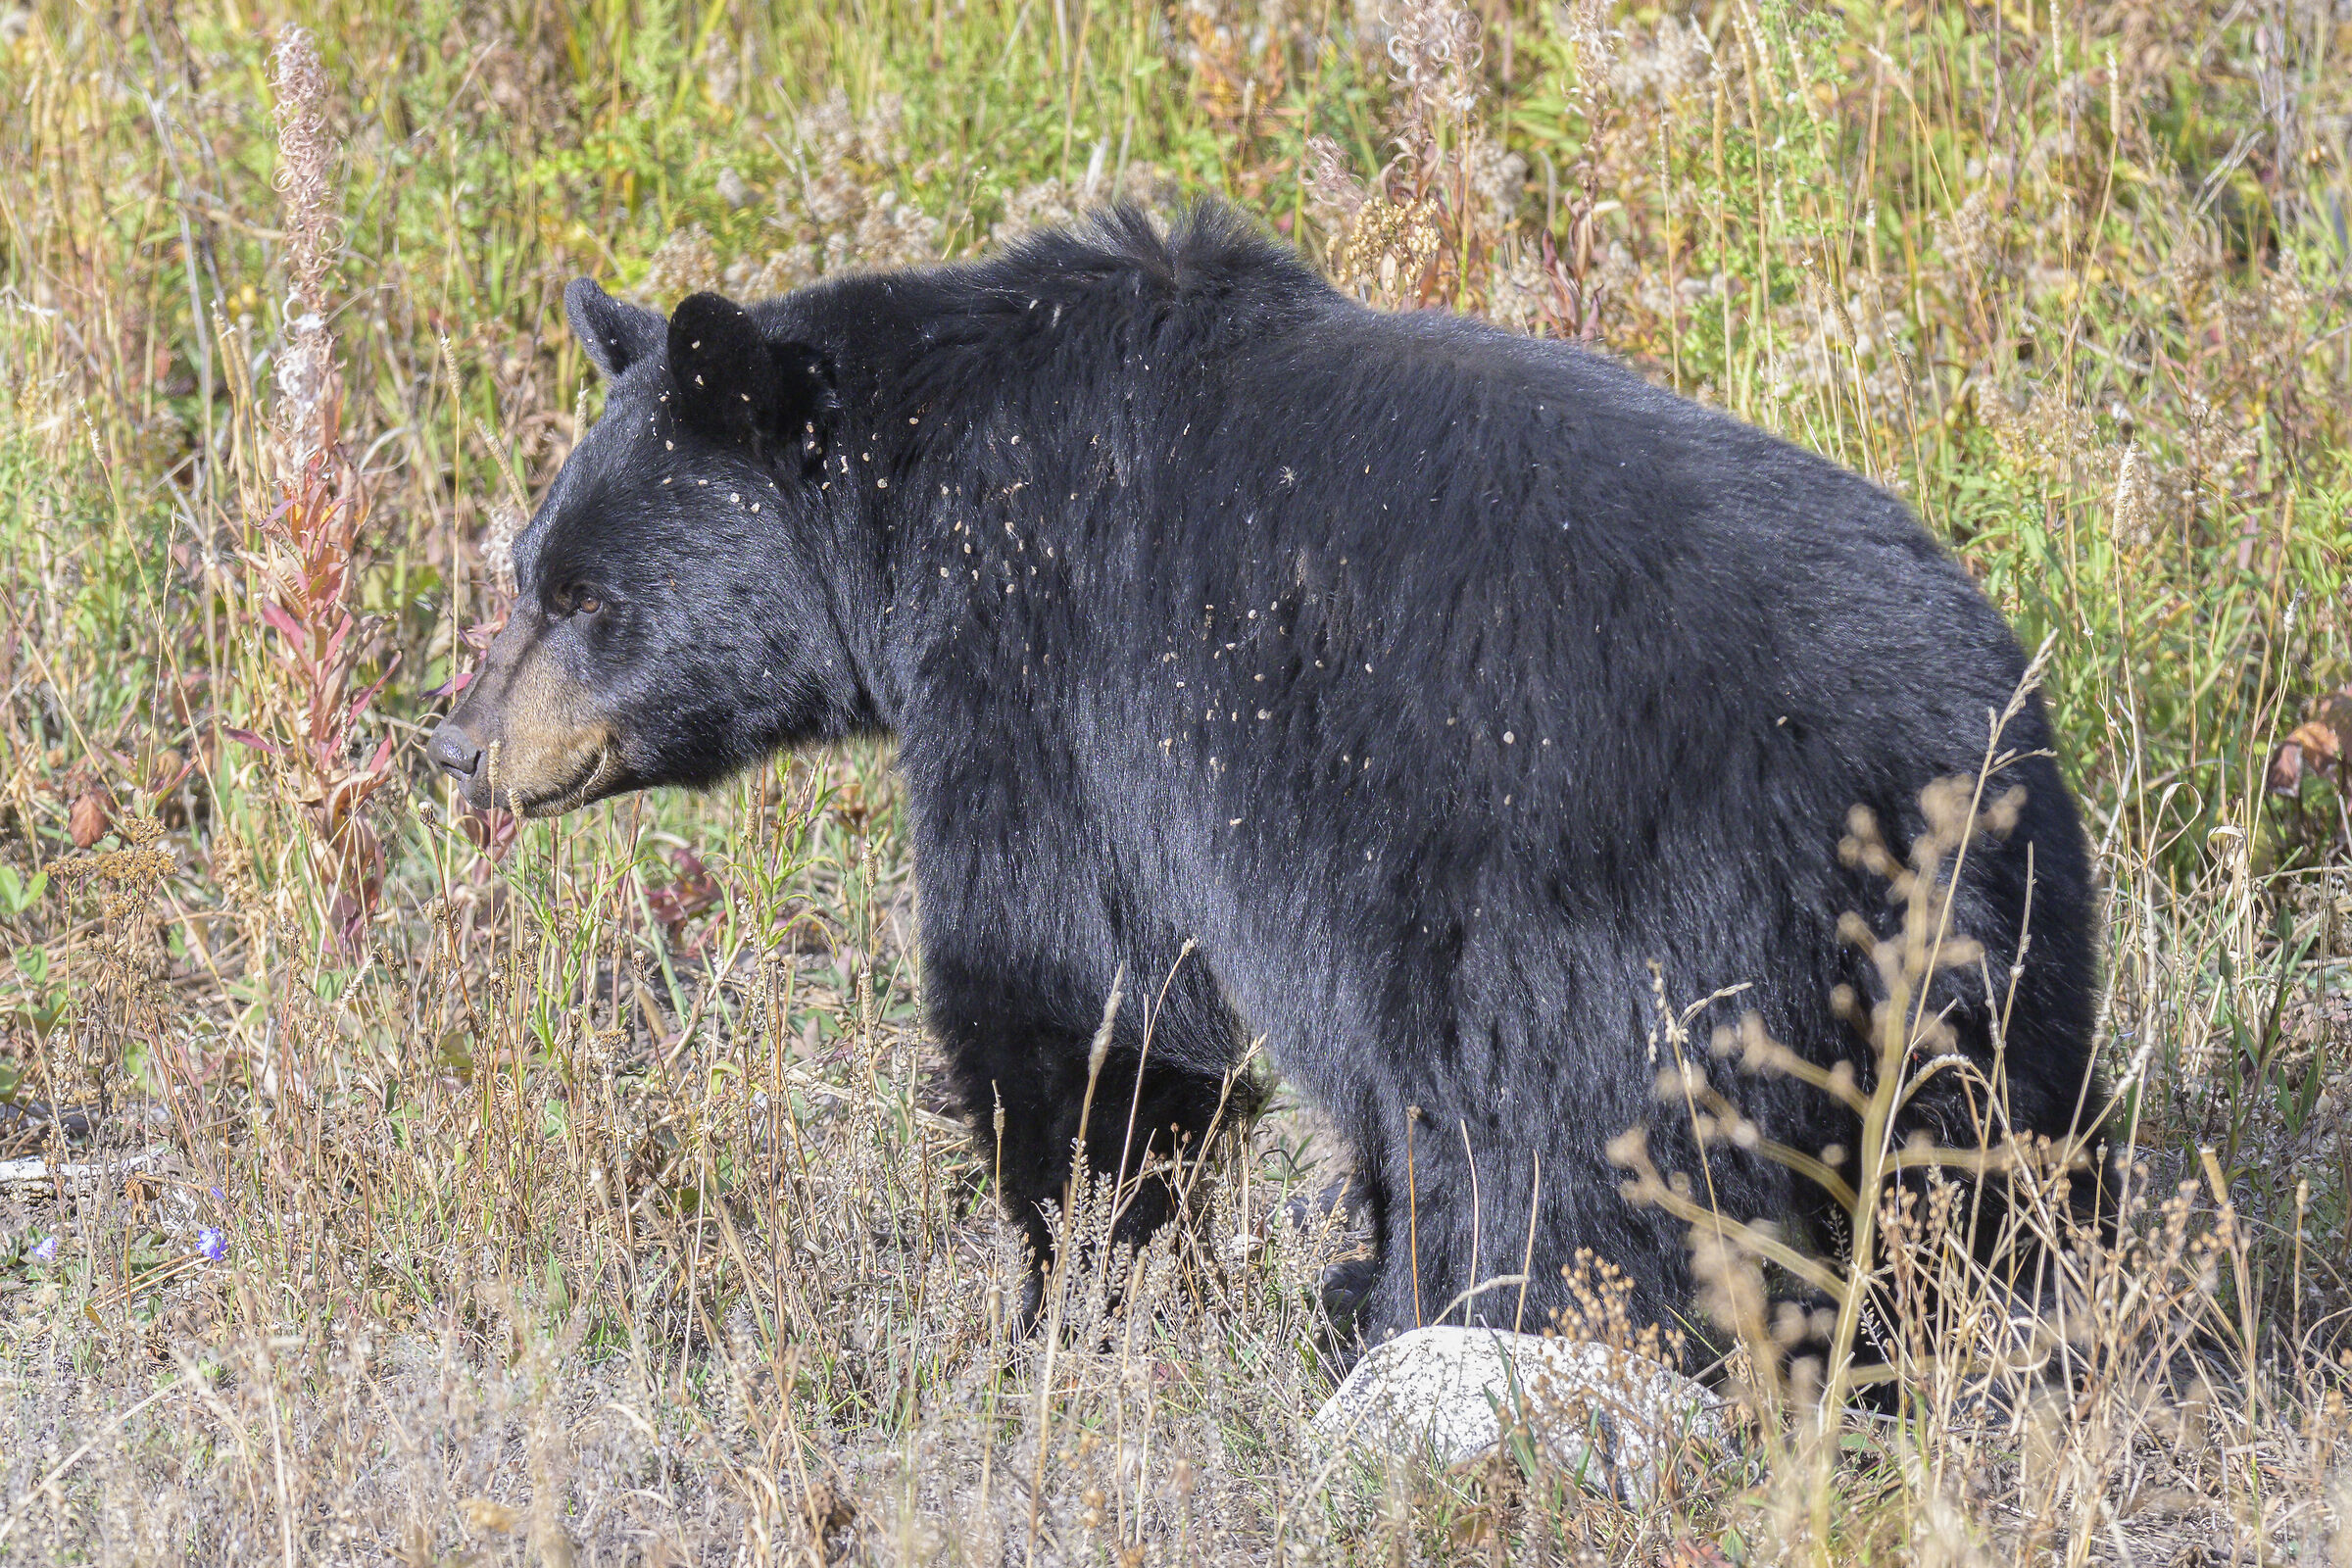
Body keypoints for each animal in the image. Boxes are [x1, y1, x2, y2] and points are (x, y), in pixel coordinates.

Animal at [429, 204, 2106, 1363]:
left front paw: (1058, 1299)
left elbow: (1075, 992)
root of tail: (1901, 784)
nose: (456, 742)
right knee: (1979, 1187)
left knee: (1552, 1166)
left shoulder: (1038, 688)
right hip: (2004, 966)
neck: (923, 497)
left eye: (582, 597)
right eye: (529, 570)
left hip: (1600, 934)